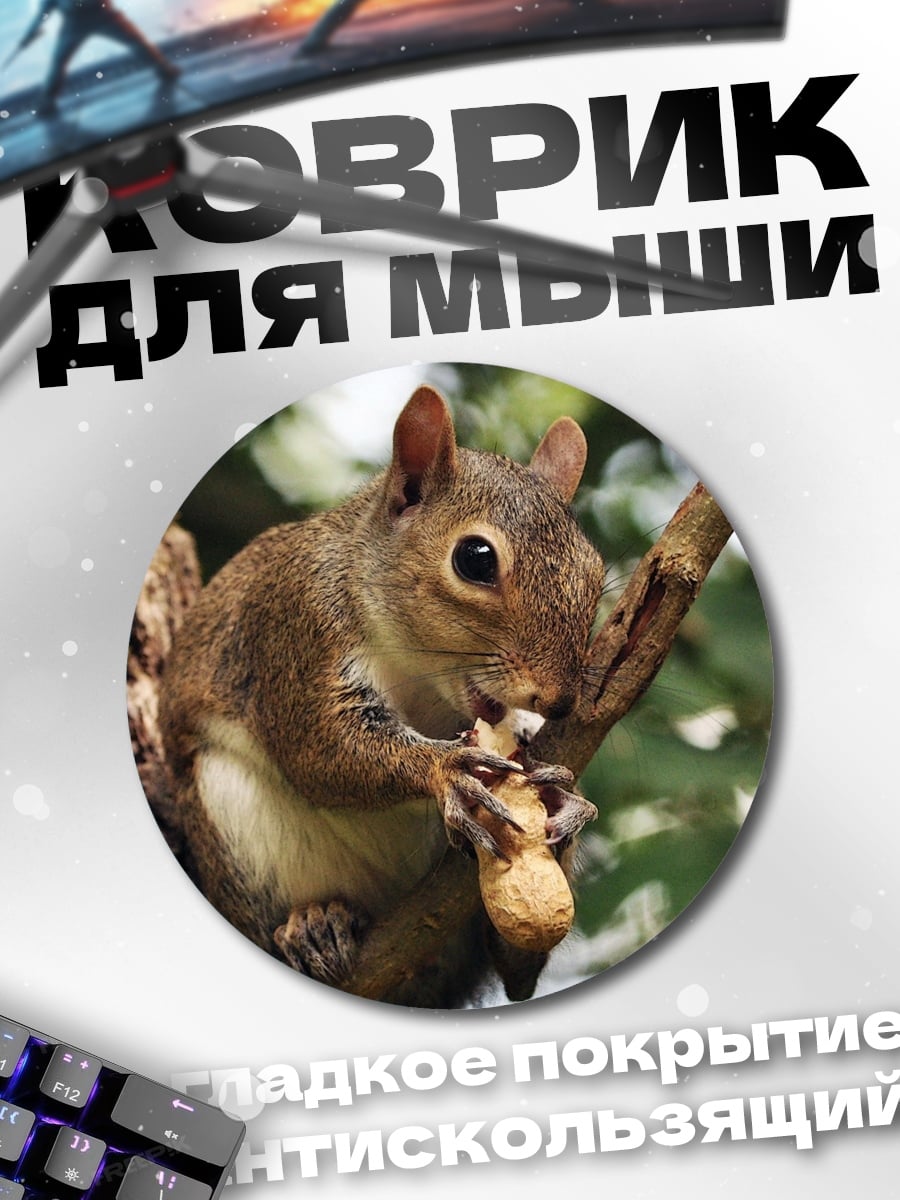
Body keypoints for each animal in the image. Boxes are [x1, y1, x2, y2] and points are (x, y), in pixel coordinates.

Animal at [159, 384, 606, 1007]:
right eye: (475, 558)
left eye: (595, 570)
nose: (560, 701)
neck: (420, 674)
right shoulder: (296, 627)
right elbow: (321, 749)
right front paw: (447, 770)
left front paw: (563, 795)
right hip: (235, 829)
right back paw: (313, 926)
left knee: (517, 968)